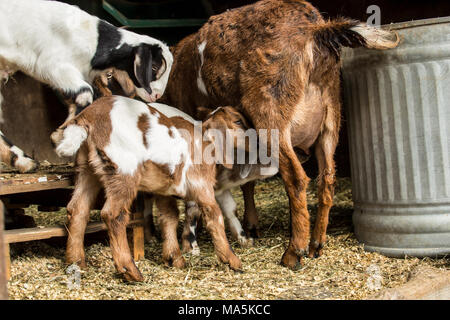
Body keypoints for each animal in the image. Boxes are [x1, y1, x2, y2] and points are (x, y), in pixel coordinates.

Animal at [0, 0, 172, 172]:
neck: (93, 39)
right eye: (154, 67)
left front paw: (62, 137)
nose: (157, 95)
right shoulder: (52, 65)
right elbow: (85, 94)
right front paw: (65, 143)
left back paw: (23, 161)